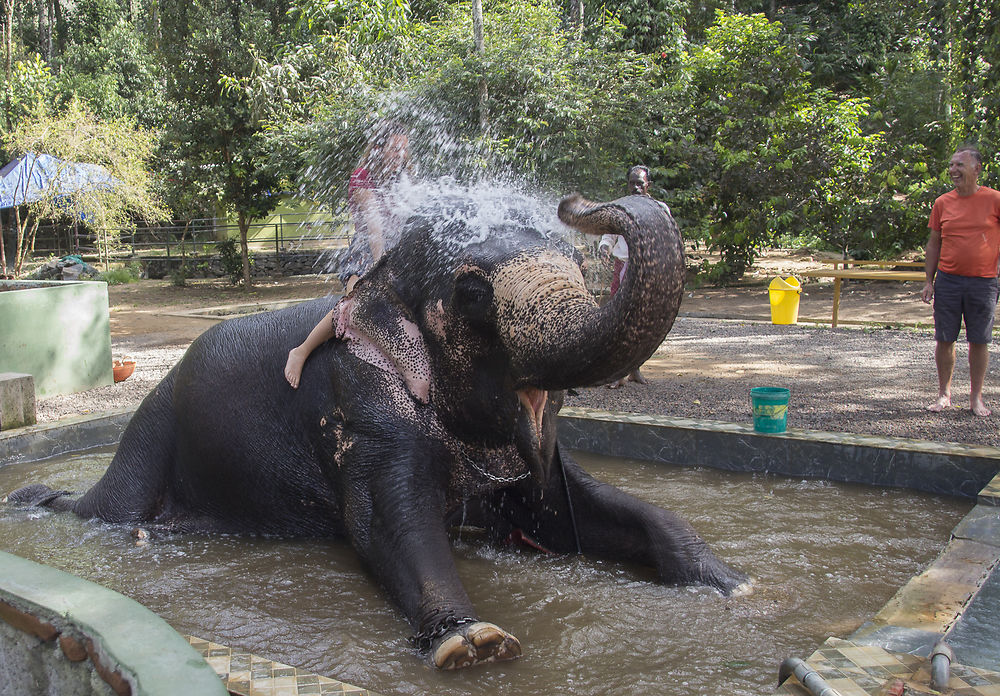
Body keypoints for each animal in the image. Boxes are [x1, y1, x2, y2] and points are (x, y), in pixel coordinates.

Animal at [5, 190, 744, 668]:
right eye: (473, 291)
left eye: (575, 256)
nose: (575, 201)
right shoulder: (358, 400)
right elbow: (385, 524)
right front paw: (474, 643)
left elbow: (570, 506)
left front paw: (732, 582)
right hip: (150, 433)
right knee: (112, 506)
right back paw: (71, 513)